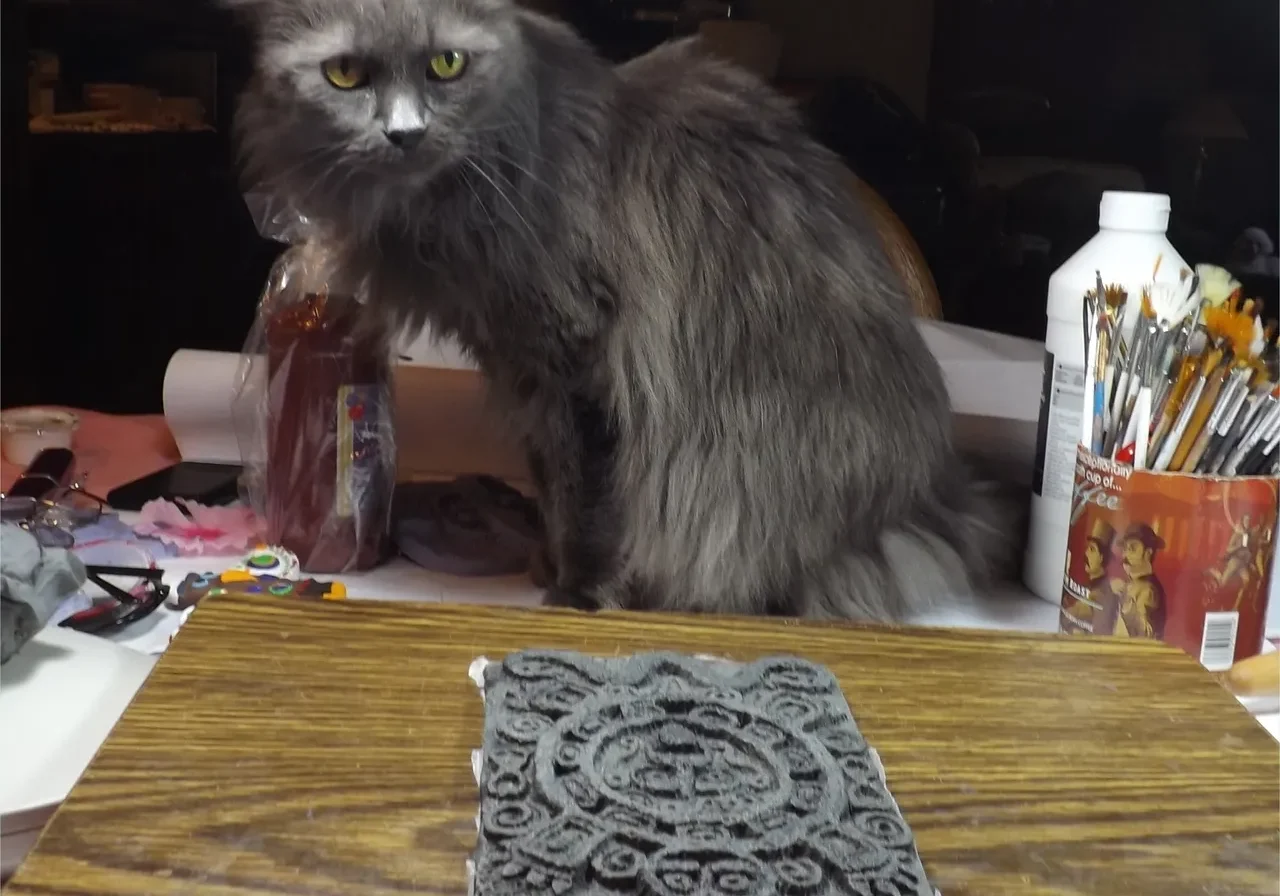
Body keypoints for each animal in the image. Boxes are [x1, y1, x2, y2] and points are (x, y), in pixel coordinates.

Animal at [222, 0, 1018, 616]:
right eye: (345, 74)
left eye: (446, 65)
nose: (404, 134)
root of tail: (930, 495)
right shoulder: (522, 367)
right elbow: (551, 480)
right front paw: (547, 563)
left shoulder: (583, 361)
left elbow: (590, 499)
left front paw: (578, 595)